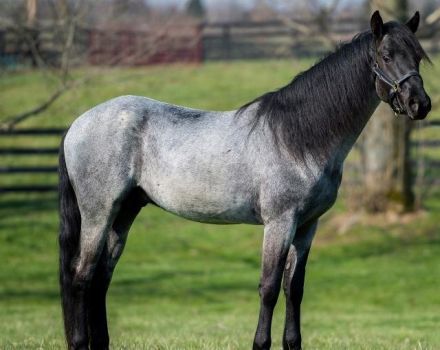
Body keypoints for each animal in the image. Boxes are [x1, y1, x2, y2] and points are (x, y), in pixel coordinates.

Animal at [57, 10, 430, 350]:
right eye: (386, 56)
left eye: (417, 56)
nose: (420, 104)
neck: (299, 138)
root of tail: (77, 124)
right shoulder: (279, 223)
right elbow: (269, 287)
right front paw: (260, 343)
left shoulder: (307, 226)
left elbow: (294, 288)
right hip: (98, 213)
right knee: (81, 276)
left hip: (124, 213)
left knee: (100, 279)